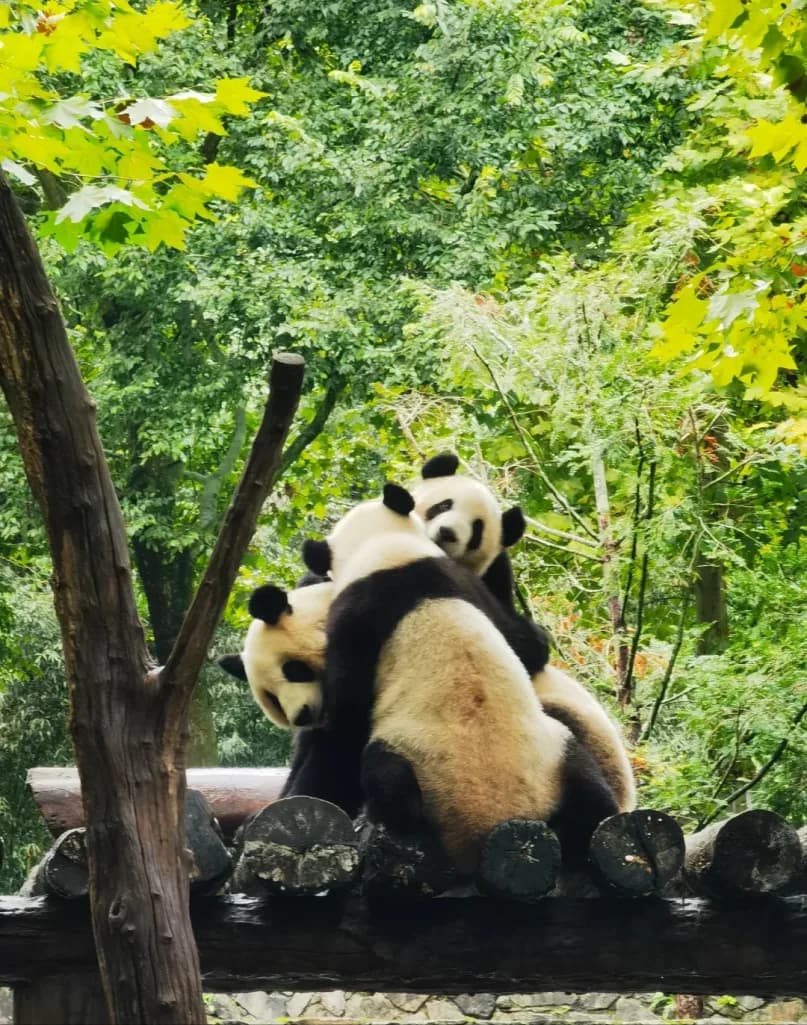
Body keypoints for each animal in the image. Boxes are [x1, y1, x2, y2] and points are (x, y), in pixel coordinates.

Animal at [301, 483, 618, 873]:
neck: (383, 550)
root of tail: (503, 825)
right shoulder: (460, 581)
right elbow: (523, 641)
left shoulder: (355, 616)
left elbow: (345, 721)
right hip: (556, 755)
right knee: (593, 797)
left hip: (420, 765)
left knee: (388, 782)